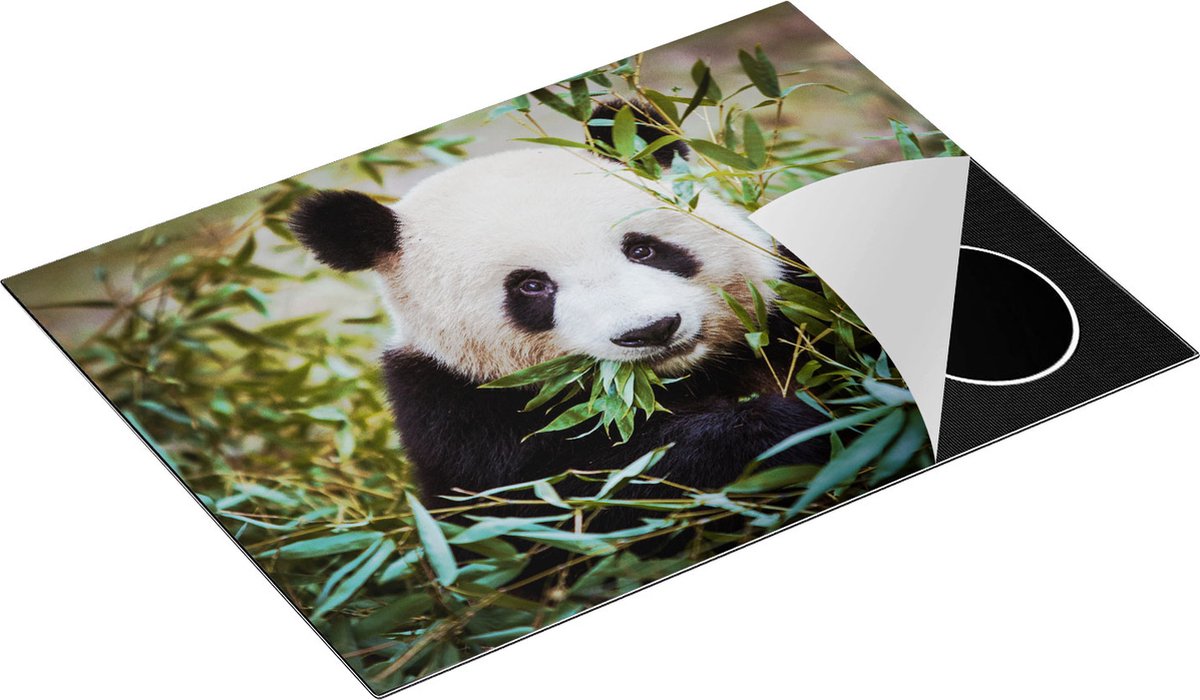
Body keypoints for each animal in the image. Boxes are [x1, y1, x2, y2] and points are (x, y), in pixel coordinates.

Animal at [289, 103, 830, 527]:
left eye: (642, 249)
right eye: (531, 286)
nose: (651, 330)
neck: (684, 380)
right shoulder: (456, 413)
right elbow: (581, 494)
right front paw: (771, 427)